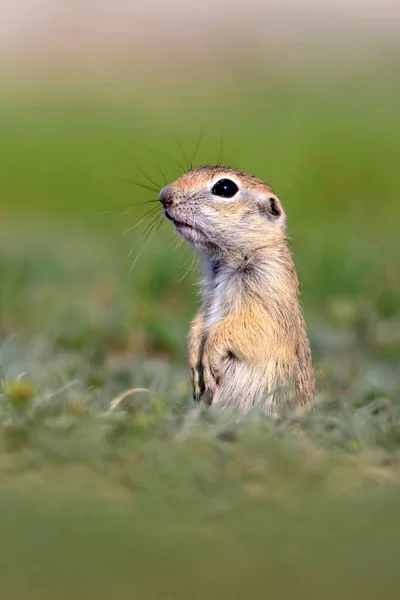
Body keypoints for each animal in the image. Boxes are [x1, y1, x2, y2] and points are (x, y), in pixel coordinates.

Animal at [158, 166, 314, 414]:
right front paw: (195, 366)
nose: (164, 196)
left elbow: (250, 327)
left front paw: (209, 359)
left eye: (225, 187)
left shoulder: (269, 288)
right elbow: (198, 323)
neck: (227, 260)